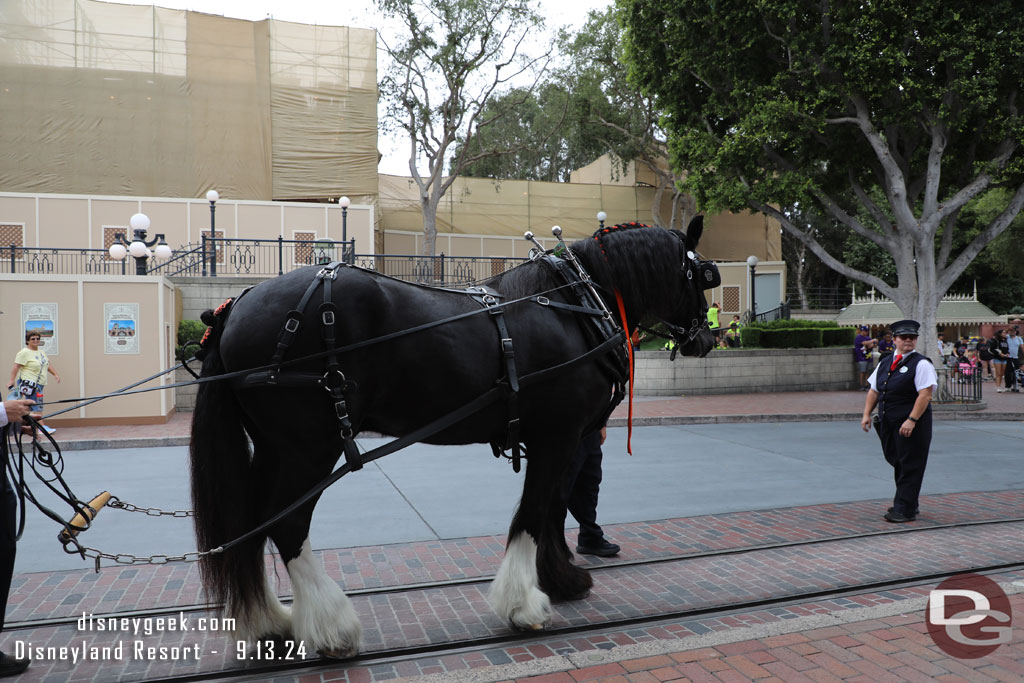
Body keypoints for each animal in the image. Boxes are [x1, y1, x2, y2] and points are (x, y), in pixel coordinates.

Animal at [190, 219, 720, 655]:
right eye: (702, 275)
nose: (707, 338)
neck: (575, 305)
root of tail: (236, 307)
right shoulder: (559, 435)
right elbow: (534, 512)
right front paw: (523, 604)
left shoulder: (556, 439)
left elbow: (551, 507)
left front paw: (562, 579)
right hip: (309, 449)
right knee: (287, 524)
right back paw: (331, 626)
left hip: (274, 448)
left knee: (251, 522)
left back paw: (268, 620)